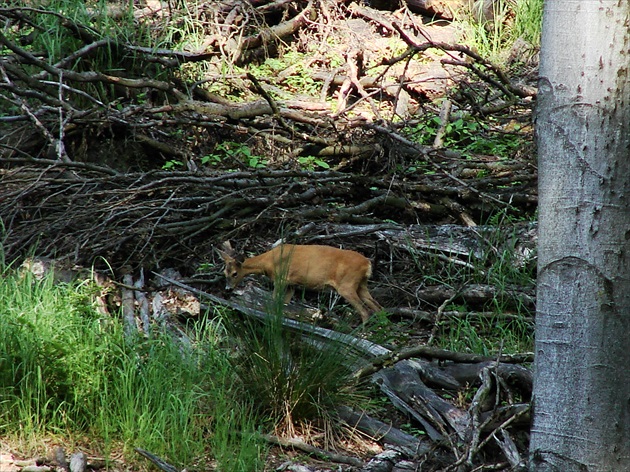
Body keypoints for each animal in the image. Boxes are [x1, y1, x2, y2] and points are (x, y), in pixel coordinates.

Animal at [220, 242, 382, 322]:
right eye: (224, 273)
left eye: (235, 273)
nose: (227, 289)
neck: (268, 262)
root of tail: (367, 263)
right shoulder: (291, 284)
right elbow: (284, 303)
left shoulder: (281, 278)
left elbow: (274, 300)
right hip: (361, 284)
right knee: (378, 307)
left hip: (346, 284)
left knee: (365, 311)